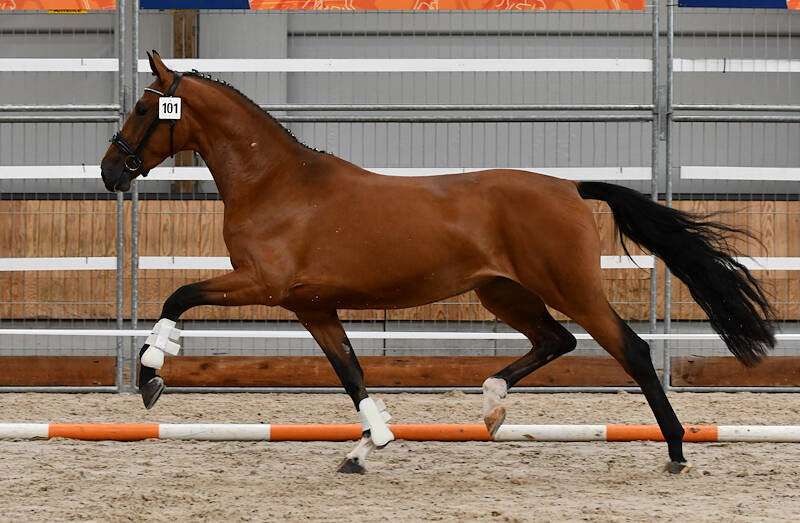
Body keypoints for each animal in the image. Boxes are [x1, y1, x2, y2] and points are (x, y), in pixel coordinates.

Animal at [101, 50, 775, 474]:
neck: (277, 185)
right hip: (503, 292)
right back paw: (492, 406)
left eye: (145, 108)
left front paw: (151, 377)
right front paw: (368, 447)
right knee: (555, 341)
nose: (110, 171)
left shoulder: (261, 285)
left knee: (628, 349)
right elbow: (352, 376)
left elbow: (178, 297)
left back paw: (677, 452)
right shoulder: (311, 307)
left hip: (570, 288)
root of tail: (569, 188)